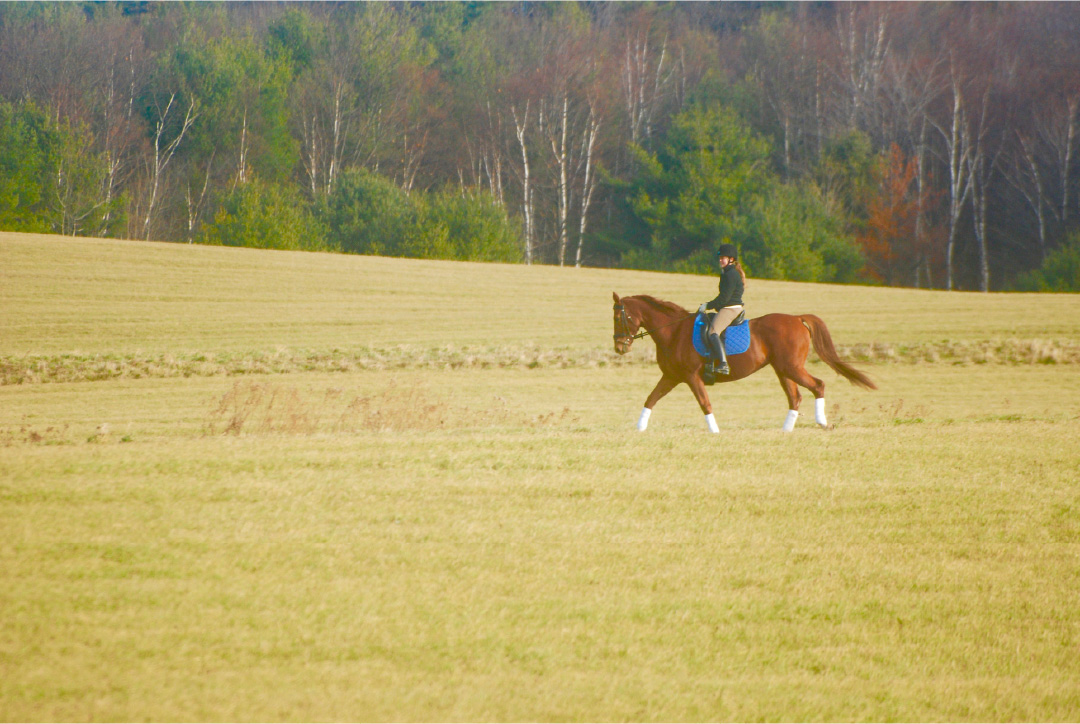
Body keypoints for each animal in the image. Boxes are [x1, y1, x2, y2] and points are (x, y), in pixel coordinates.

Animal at [613, 293, 872, 434]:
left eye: (620, 317)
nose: (619, 347)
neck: (673, 331)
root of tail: (797, 318)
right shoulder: (671, 376)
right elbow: (650, 399)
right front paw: (639, 428)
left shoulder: (691, 377)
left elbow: (704, 403)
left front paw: (715, 431)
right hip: (783, 370)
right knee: (795, 397)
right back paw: (785, 431)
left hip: (791, 368)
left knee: (817, 385)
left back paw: (822, 423)